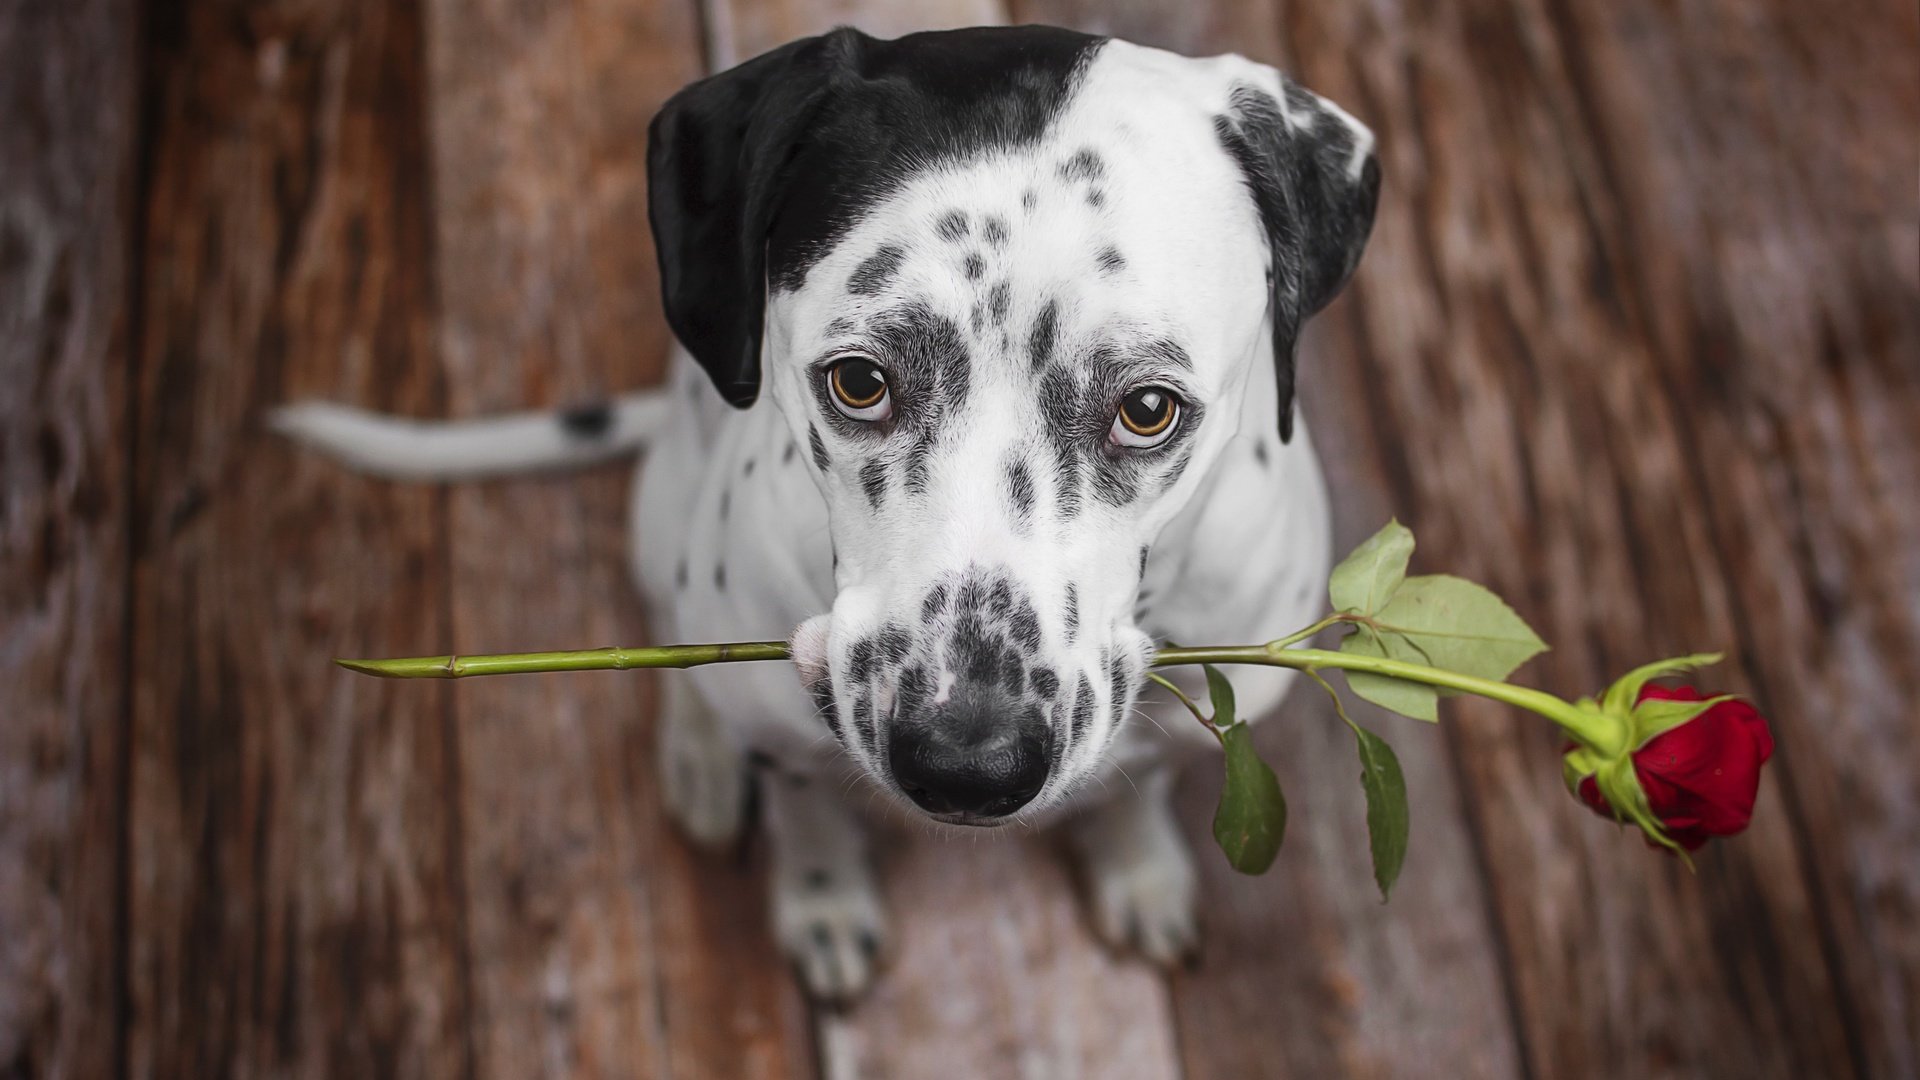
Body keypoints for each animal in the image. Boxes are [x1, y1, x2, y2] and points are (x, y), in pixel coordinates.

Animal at [274, 27, 1382, 999]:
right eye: (859, 382)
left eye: (1147, 408)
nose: (967, 764)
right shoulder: (789, 730)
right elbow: (804, 808)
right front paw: (819, 897)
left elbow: (1139, 785)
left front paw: (1139, 866)